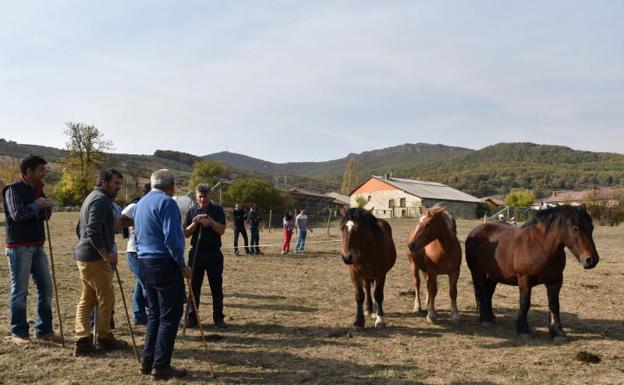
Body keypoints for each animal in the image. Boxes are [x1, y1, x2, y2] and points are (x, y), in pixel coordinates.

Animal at [466, 204, 596, 340]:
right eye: (575, 228)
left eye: (591, 227)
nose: (591, 260)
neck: (541, 247)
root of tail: (475, 232)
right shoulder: (524, 279)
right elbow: (525, 303)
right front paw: (523, 330)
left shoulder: (556, 281)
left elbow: (554, 305)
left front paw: (557, 332)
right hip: (477, 272)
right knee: (481, 292)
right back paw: (485, 319)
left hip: (494, 275)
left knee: (488, 293)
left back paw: (491, 317)